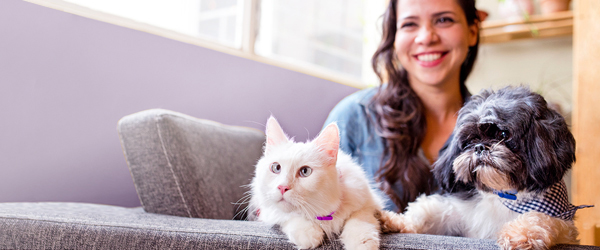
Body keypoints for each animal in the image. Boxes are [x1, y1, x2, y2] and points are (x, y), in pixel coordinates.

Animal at [250, 117, 384, 250]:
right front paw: (309, 234)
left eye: (305, 171)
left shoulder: (367, 203)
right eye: (276, 168)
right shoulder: (269, 211)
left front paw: (362, 244)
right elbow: (290, 216)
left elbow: (359, 221)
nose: (282, 187)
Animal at [380, 86, 592, 250]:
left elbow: (541, 218)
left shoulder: (562, 222)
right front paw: (393, 221)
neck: (502, 193)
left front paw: (520, 234)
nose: (480, 147)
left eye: (503, 134)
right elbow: (426, 213)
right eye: (472, 139)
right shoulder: (457, 214)